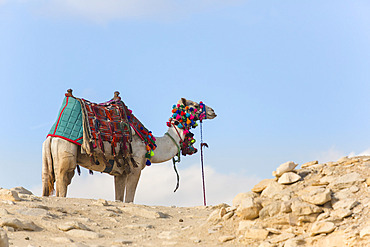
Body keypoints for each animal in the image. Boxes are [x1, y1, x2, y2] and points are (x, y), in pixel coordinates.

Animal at [42, 95, 217, 203]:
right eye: (194, 105)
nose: (212, 111)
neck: (152, 144)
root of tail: (51, 137)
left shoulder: (120, 173)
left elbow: (120, 198)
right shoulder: (135, 167)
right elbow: (130, 199)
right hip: (65, 152)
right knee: (63, 180)